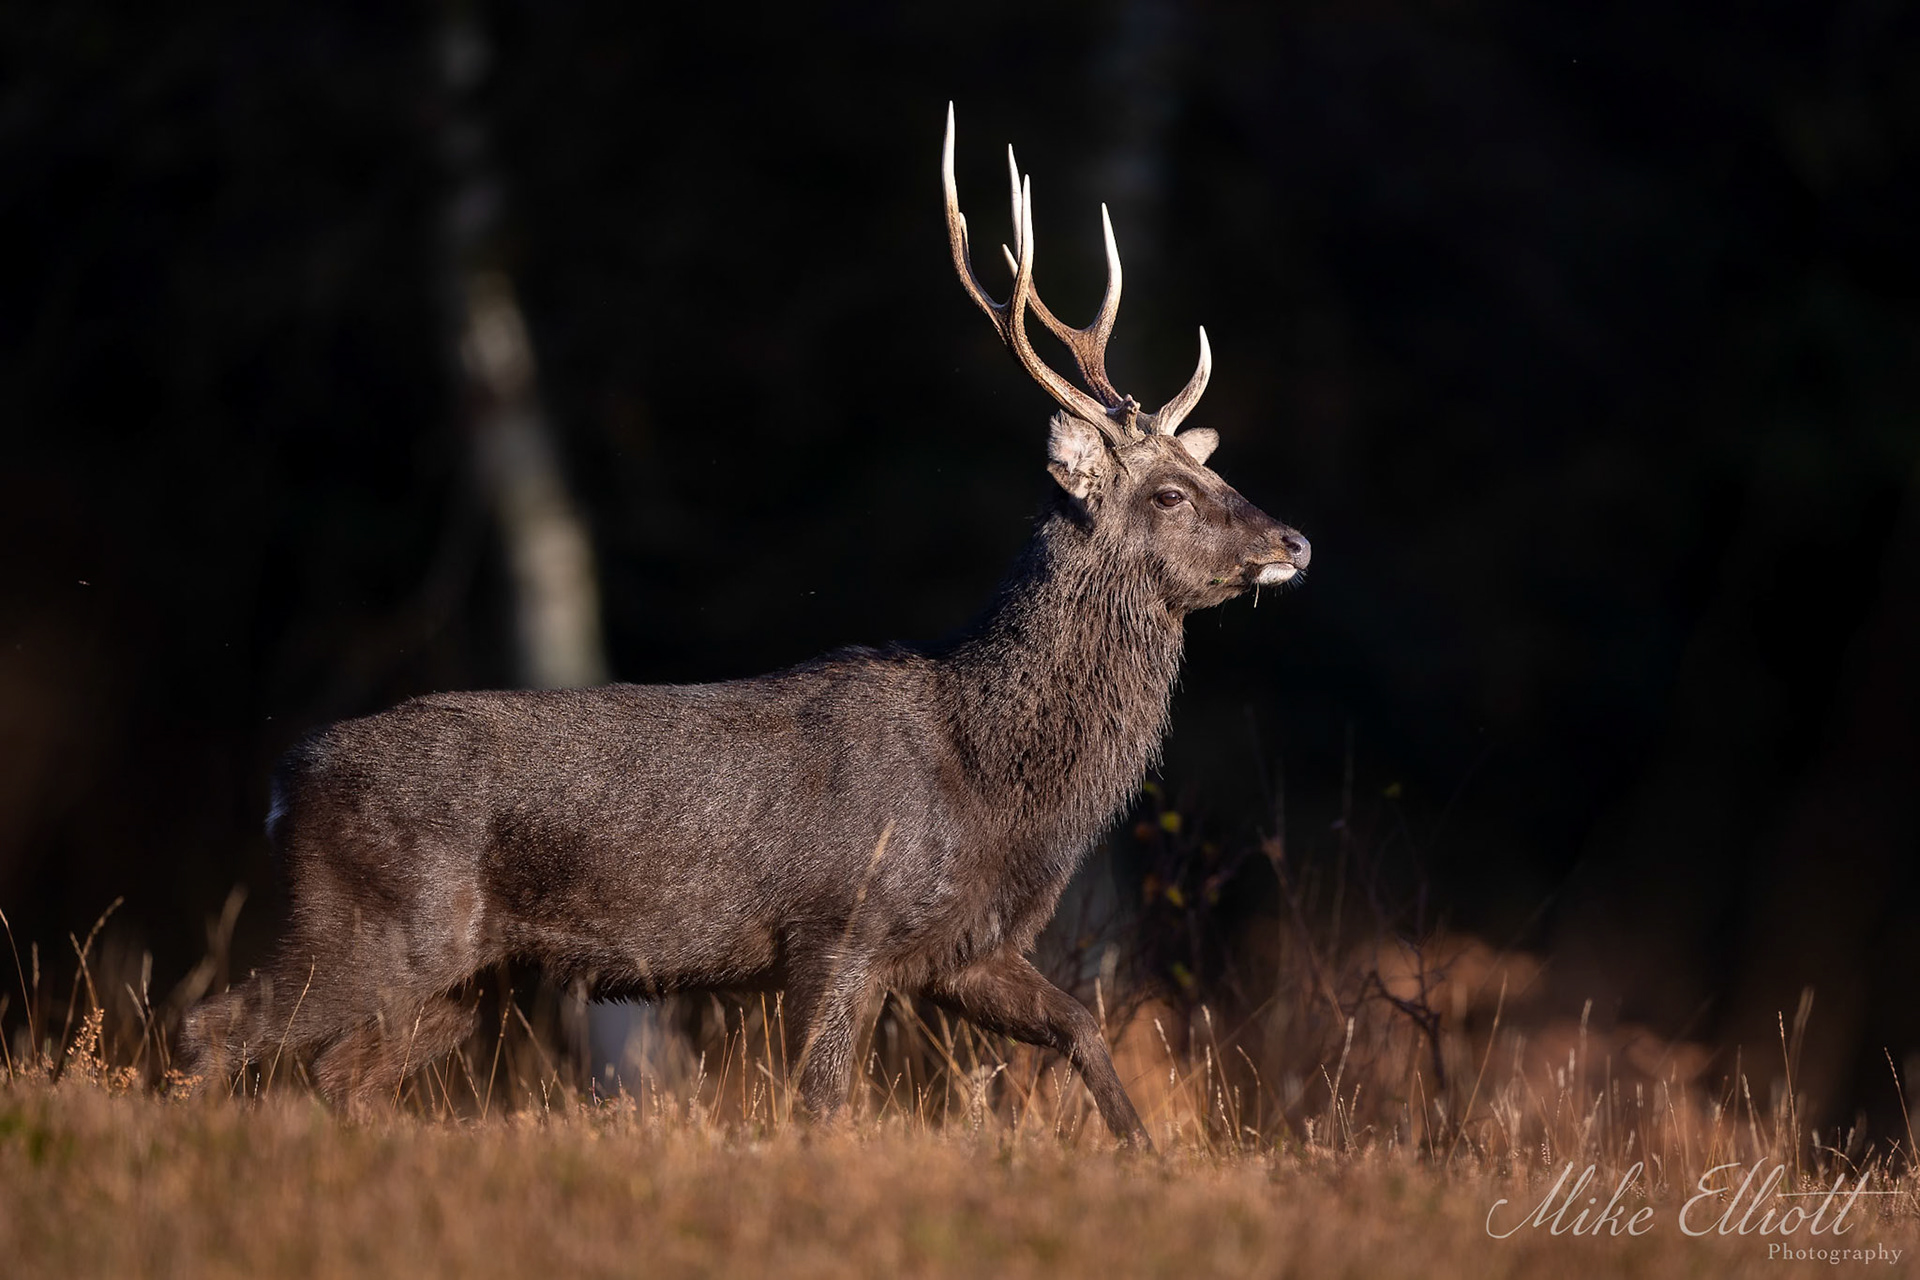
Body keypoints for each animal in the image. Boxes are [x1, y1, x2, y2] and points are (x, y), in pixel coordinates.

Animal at [182, 105, 1310, 1147]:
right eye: (1170, 491)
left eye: (1205, 467)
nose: (1293, 539)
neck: (992, 782)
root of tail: (286, 785)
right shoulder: (840, 928)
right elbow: (823, 1107)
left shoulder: (959, 947)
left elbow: (1083, 1025)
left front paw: (1149, 1157)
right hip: (376, 923)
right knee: (216, 1026)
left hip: (461, 975)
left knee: (342, 1072)